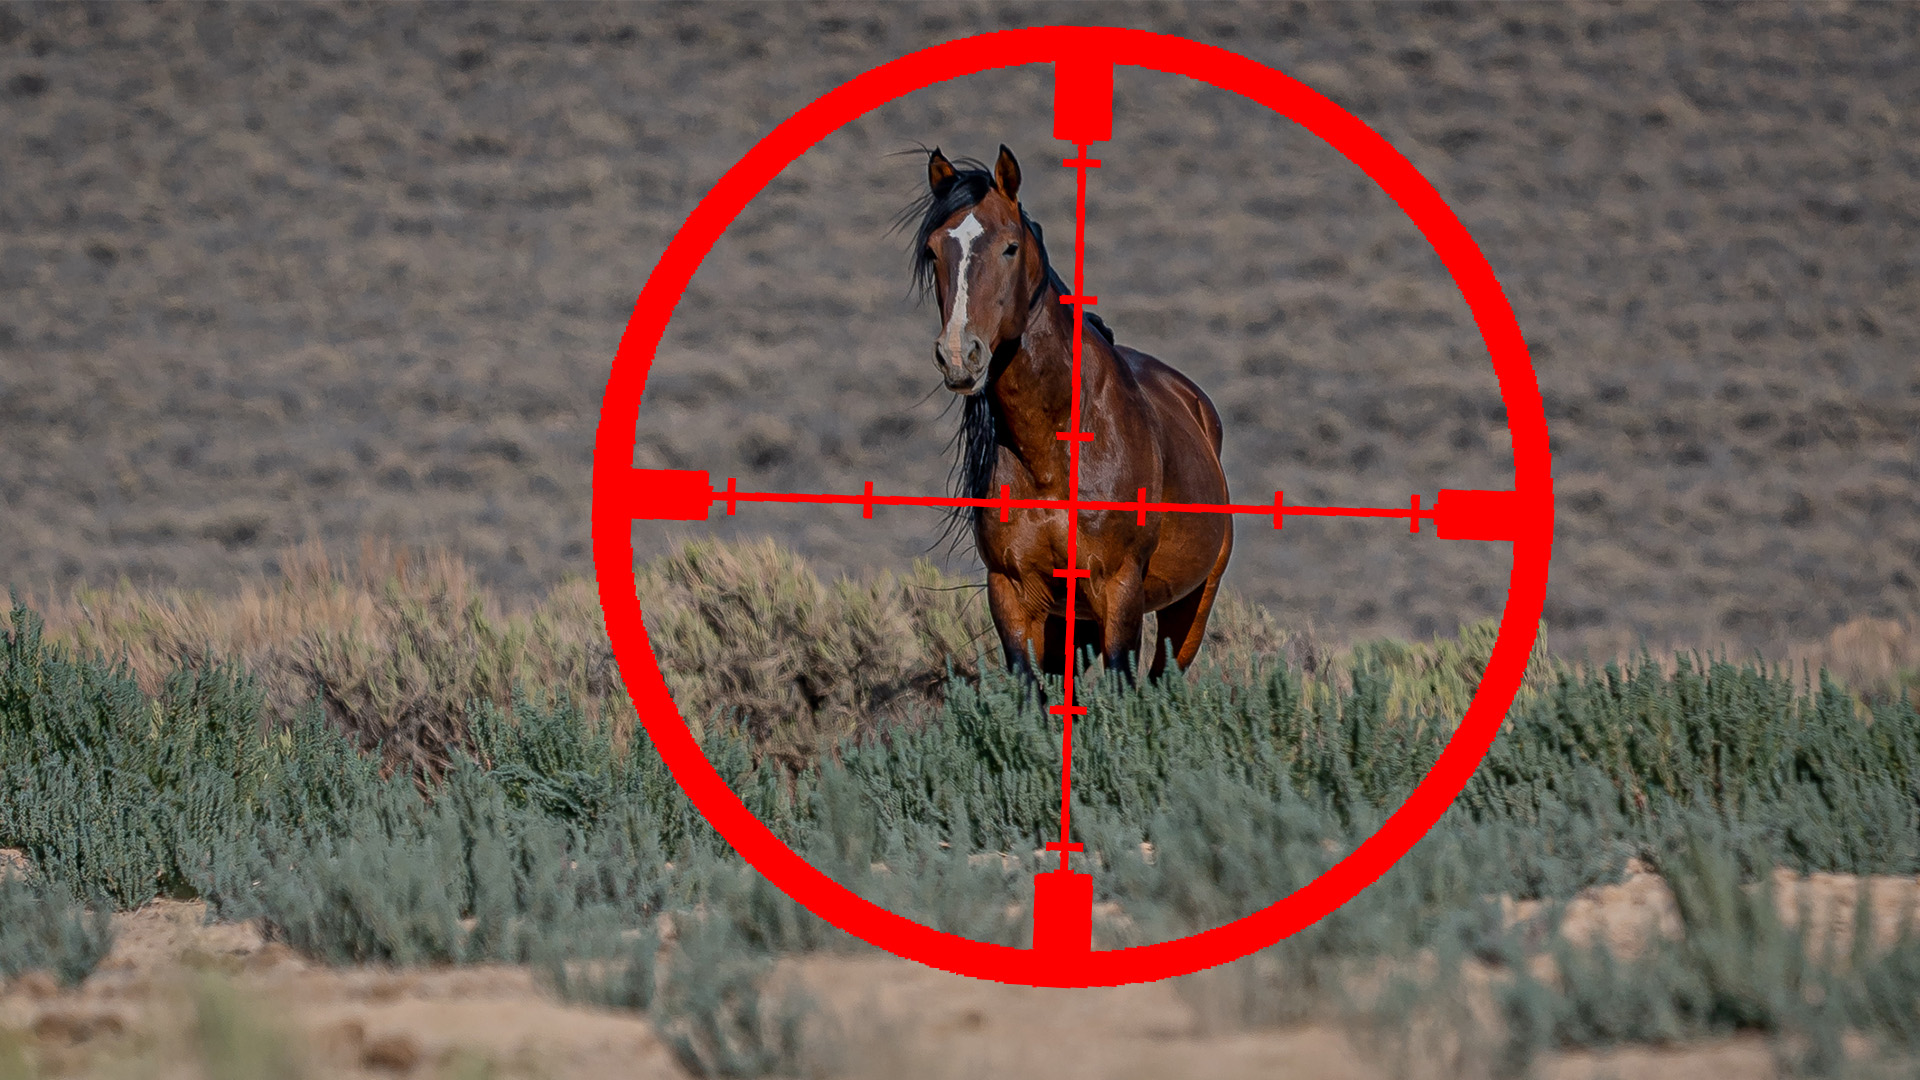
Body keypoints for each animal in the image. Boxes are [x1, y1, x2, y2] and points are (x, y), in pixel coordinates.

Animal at [904, 145, 1233, 684]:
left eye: (1010, 247)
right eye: (934, 251)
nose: (958, 355)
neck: (1053, 451)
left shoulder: (1118, 591)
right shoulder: (1013, 594)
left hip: (1189, 609)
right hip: (1070, 625)